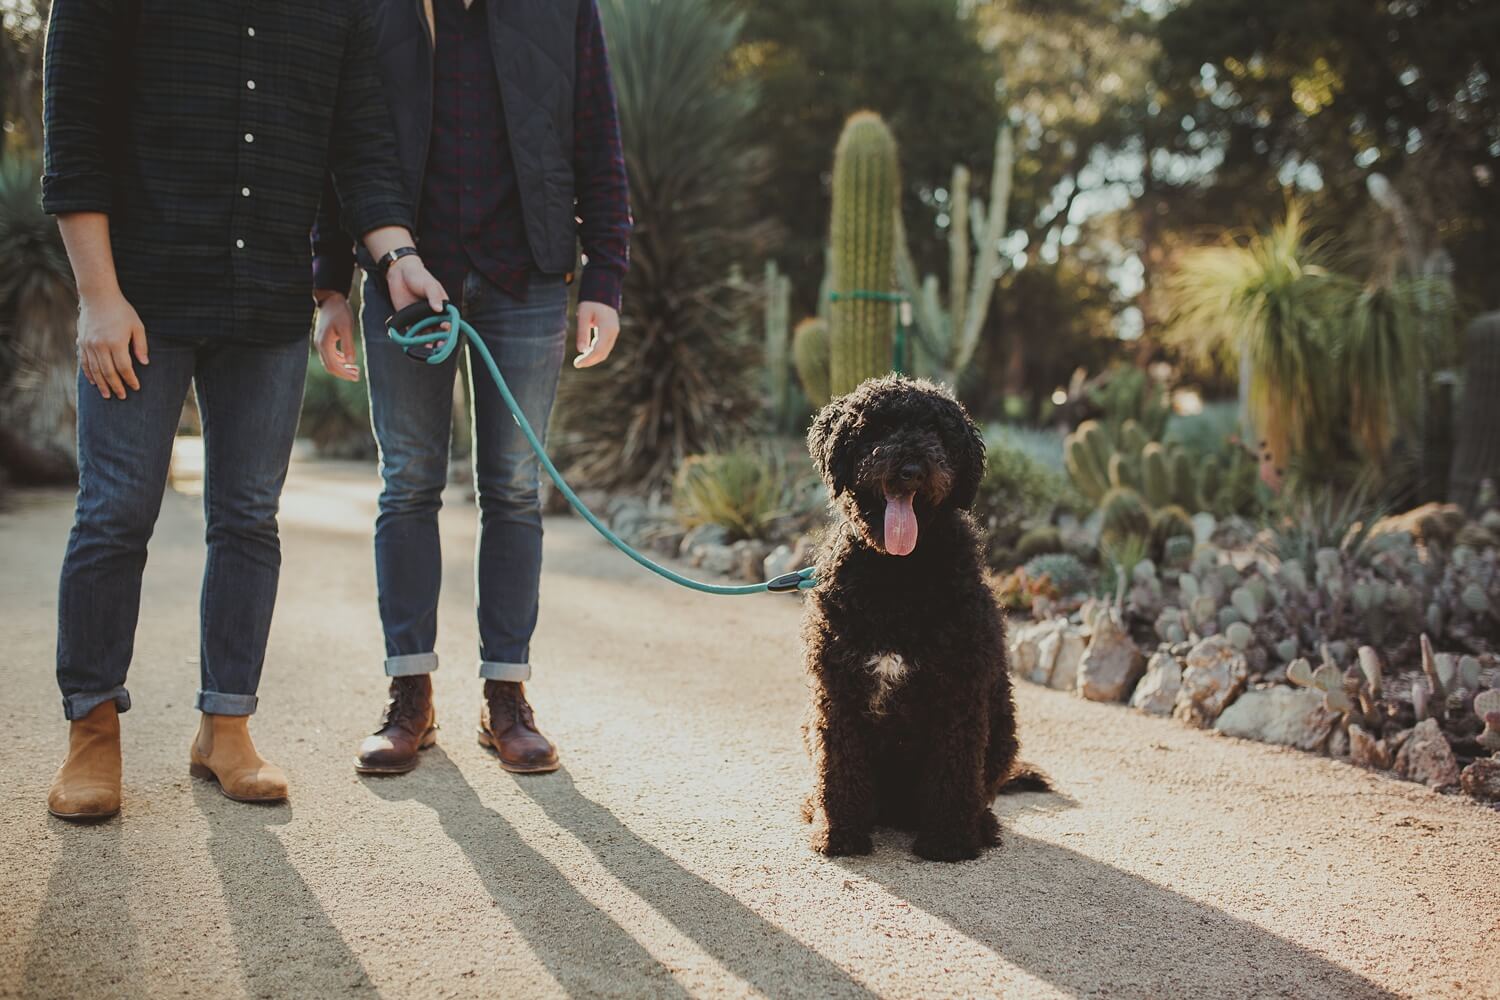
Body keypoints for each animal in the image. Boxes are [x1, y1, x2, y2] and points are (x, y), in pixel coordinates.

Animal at [798, 374, 1044, 863]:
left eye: (936, 432)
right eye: (877, 428)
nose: (911, 469)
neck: (899, 575)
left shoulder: (960, 693)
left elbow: (954, 774)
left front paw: (949, 841)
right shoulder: (836, 693)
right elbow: (839, 768)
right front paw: (840, 833)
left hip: (1003, 727)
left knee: (981, 791)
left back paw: (980, 825)